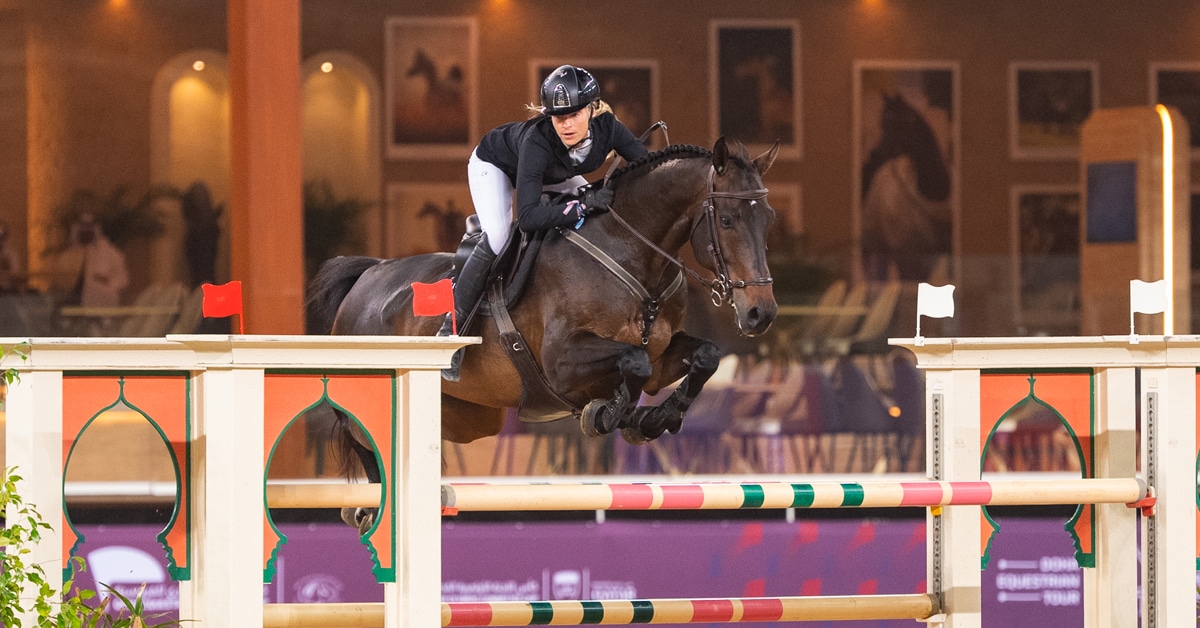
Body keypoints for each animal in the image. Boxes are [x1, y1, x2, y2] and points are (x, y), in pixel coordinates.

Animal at [307, 137, 779, 531]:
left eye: (768, 219)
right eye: (729, 220)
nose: (761, 313)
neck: (630, 251)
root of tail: (368, 276)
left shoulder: (664, 356)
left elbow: (702, 357)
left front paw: (656, 418)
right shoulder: (561, 363)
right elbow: (633, 362)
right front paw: (611, 413)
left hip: (469, 417)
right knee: (361, 436)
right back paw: (368, 511)